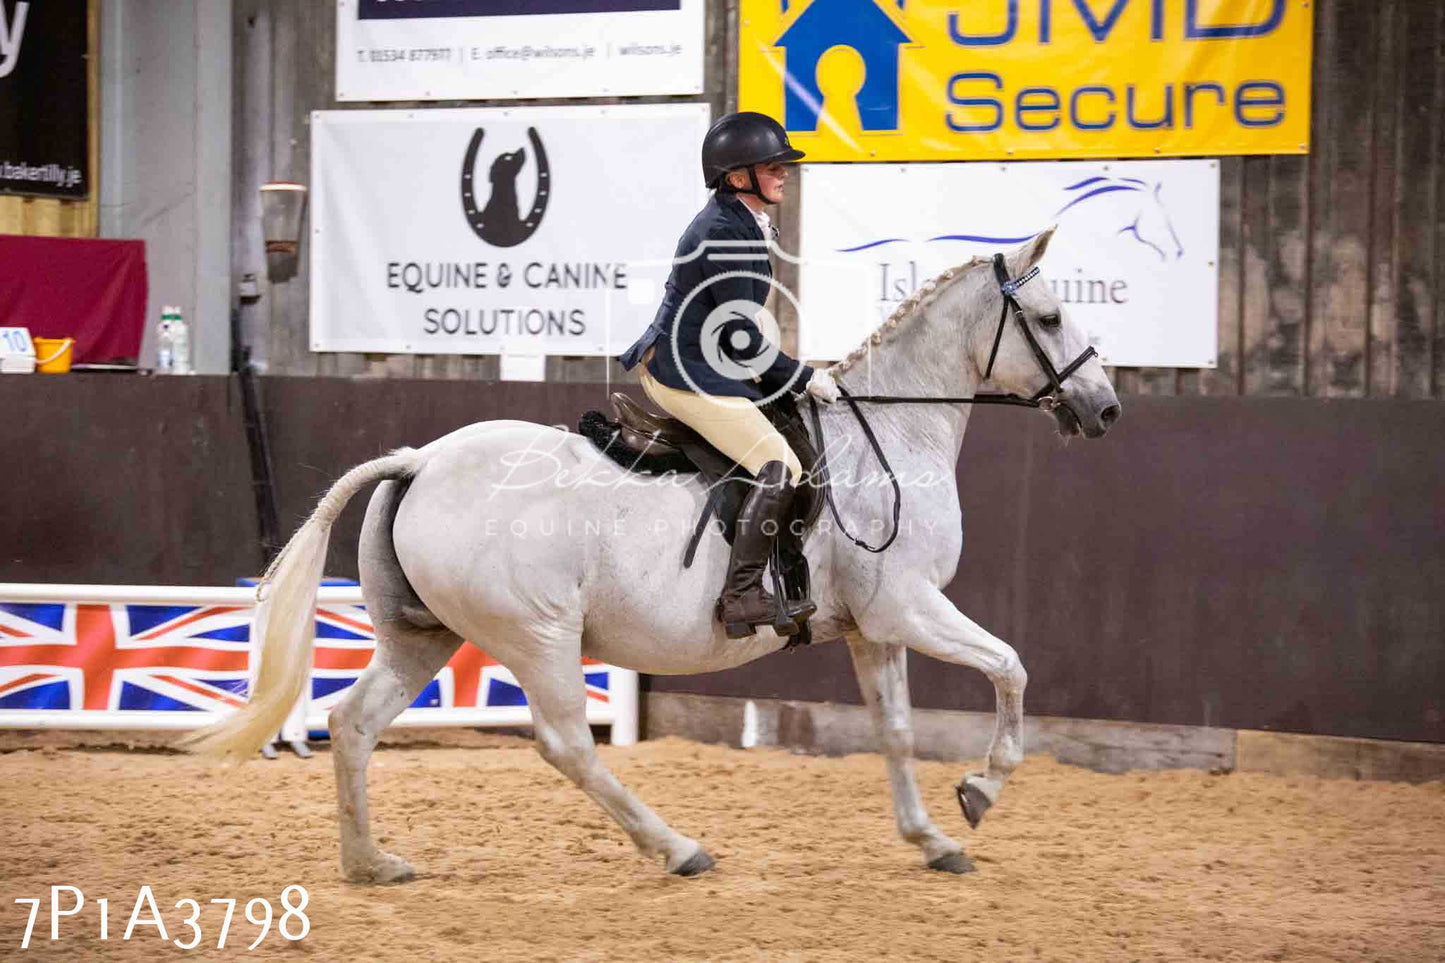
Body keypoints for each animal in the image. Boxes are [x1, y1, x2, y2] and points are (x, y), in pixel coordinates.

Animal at [186, 225, 1121, 879]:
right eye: (1047, 317)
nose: (1104, 408)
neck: (887, 433)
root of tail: (419, 461)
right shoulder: (911, 606)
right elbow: (1009, 666)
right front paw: (980, 789)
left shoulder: (873, 625)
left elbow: (894, 731)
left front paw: (931, 838)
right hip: (539, 635)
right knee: (567, 743)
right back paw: (676, 847)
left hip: (422, 635)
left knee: (353, 722)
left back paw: (370, 863)